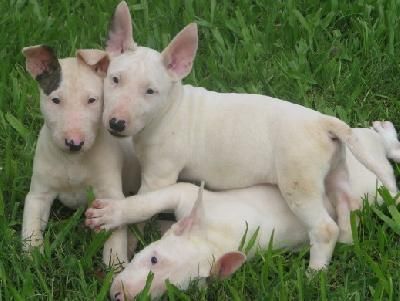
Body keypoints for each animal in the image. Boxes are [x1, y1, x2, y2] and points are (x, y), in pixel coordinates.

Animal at [21, 44, 141, 264]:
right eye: (56, 100)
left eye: (92, 100)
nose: (74, 143)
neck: (73, 160)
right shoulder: (38, 194)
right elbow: (31, 224)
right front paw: (33, 257)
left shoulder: (110, 193)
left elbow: (115, 230)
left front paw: (116, 264)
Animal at [86, 120, 400, 298]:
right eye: (153, 259)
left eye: (171, 289)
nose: (120, 296)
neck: (215, 238)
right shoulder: (184, 195)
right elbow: (145, 203)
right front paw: (110, 215)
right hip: (357, 147)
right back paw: (385, 131)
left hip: (375, 189)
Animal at [96, 1, 396, 270]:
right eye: (115, 79)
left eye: (150, 91)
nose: (116, 123)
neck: (170, 109)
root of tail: (324, 122)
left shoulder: (159, 176)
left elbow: (140, 205)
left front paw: (122, 236)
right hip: (335, 171)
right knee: (348, 208)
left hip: (300, 182)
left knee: (324, 228)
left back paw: (315, 273)